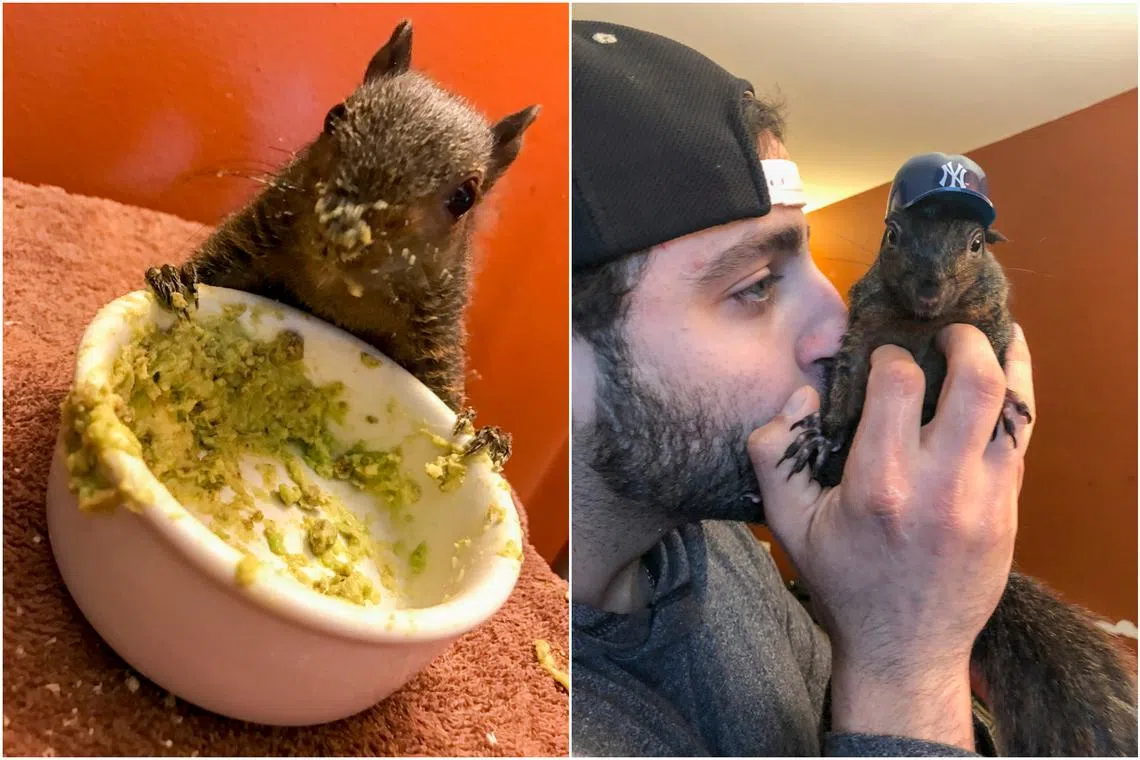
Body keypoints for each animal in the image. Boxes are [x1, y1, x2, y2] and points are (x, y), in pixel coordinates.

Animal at [144, 20, 539, 468]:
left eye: (464, 197)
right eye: (334, 116)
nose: (343, 221)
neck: (333, 290)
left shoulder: (434, 346)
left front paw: (490, 438)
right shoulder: (246, 243)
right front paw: (173, 279)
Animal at [779, 159, 1138, 756]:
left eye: (975, 244)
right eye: (892, 235)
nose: (929, 288)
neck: (924, 322)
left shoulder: (990, 319)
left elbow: (995, 347)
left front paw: (1003, 404)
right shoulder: (863, 334)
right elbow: (845, 384)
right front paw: (823, 436)